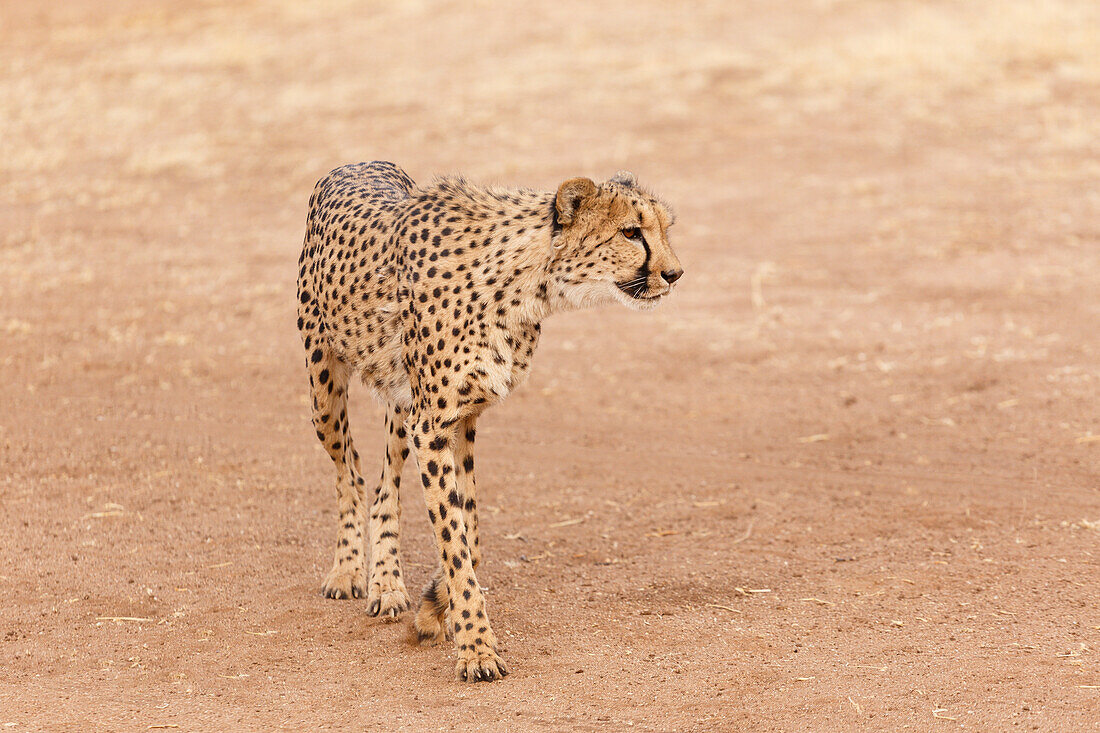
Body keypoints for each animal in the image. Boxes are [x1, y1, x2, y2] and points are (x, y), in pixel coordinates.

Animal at [297, 161, 682, 677]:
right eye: (631, 232)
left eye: (663, 228)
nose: (675, 273)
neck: (526, 283)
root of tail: (356, 163)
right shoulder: (433, 425)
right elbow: (455, 541)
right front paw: (476, 648)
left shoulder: (462, 418)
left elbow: (470, 534)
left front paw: (434, 607)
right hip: (324, 386)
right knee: (351, 473)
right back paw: (348, 570)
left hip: (400, 403)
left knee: (384, 487)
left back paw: (388, 583)